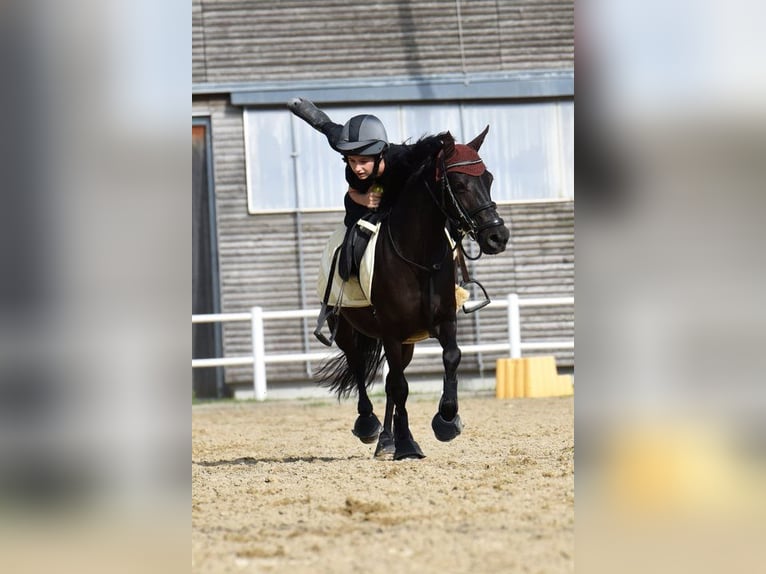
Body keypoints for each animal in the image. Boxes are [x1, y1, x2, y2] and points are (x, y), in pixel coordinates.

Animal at [316, 127, 510, 459]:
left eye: (489, 179)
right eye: (459, 185)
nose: (498, 236)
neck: (418, 256)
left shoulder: (443, 323)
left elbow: (451, 357)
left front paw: (447, 419)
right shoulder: (391, 333)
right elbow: (400, 387)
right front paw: (407, 443)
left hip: (406, 343)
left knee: (391, 379)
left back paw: (387, 440)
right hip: (346, 330)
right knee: (359, 366)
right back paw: (370, 426)